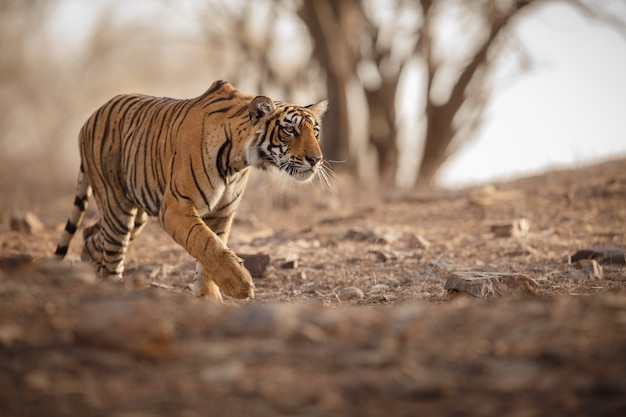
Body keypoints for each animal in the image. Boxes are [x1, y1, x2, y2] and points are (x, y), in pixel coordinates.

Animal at [53, 80, 326, 302]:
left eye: (315, 131)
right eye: (290, 130)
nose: (317, 159)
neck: (237, 162)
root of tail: (90, 118)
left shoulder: (221, 213)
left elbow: (211, 251)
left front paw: (210, 299)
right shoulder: (176, 206)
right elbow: (205, 243)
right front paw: (239, 285)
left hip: (136, 211)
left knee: (91, 235)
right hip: (117, 206)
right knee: (111, 257)